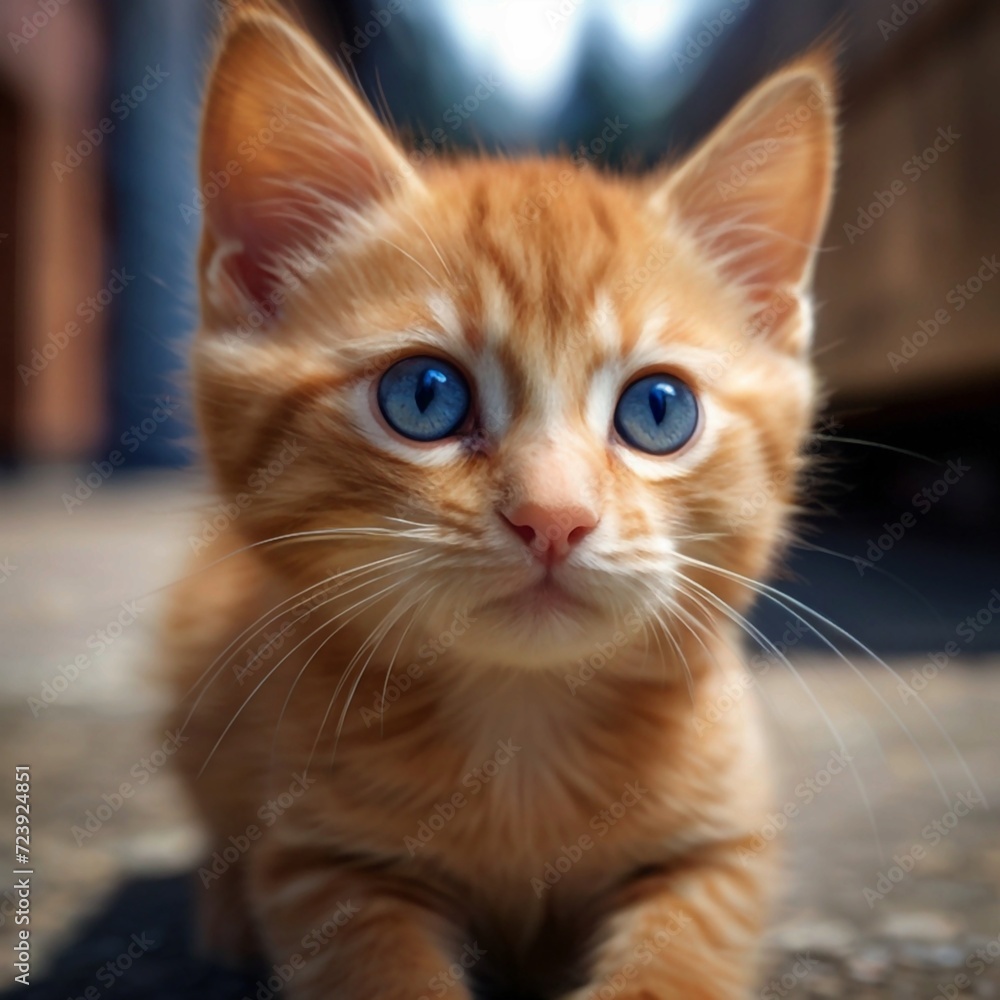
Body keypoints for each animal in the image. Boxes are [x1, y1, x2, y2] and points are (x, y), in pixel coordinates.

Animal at [164, 3, 836, 996]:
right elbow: (375, 964)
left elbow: (681, 954)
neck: (523, 721)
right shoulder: (315, 859)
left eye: (659, 409)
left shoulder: (725, 845)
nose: (553, 517)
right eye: (425, 395)